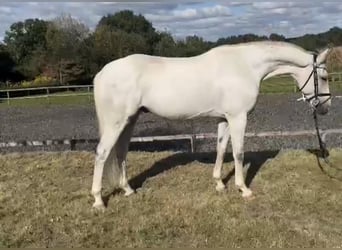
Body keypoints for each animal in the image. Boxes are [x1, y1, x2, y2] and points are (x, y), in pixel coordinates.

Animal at [91, 41, 332, 211]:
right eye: (324, 77)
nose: (326, 108)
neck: (245, 66)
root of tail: (102, 73)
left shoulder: (224, 118)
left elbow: (221, 148)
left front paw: (219, 184)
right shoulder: (238, 117)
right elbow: (238, 153)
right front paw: (243, 189)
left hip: (129, 120)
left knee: (121, 152)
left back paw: (128, 190)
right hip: (116, 122)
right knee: (102, 153)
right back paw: (98, 201)